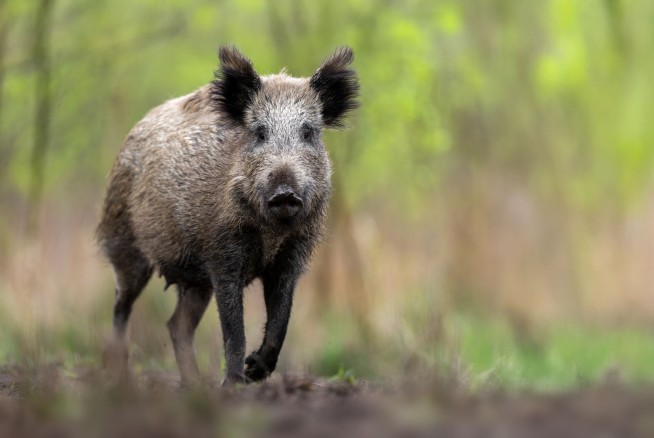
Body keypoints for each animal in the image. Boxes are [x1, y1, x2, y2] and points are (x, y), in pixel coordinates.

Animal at [97, 46, 359, 385]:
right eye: (259, 133)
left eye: (308, 133)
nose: (284, 192)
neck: (270, 234)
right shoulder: (222, 258)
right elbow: (234, 329)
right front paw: (235, 382)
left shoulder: (290, 259)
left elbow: (281, 322)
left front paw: (254, 372)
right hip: (125, 245)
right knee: (121, 304)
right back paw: (118, 374)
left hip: (195, 281)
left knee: (176, 325)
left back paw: (194, 384)